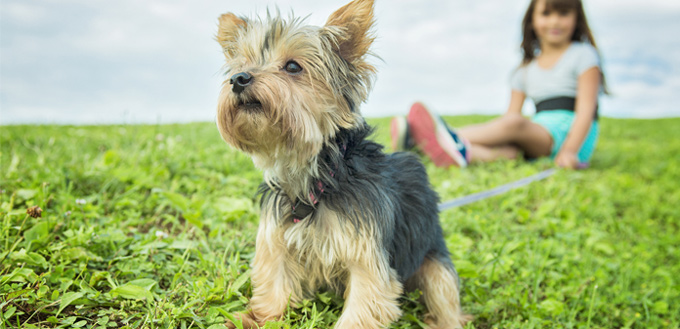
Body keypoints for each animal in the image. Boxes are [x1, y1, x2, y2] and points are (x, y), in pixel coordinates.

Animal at [215, 1, 470, 326]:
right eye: (241, 65)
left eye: (293, 67)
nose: (239, 79)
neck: (316, 176)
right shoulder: (277, 239)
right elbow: (274, 284)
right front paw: (258, 319)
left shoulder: (367, 255)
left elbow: (363, 303)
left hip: (434, 262)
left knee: (444, 295)